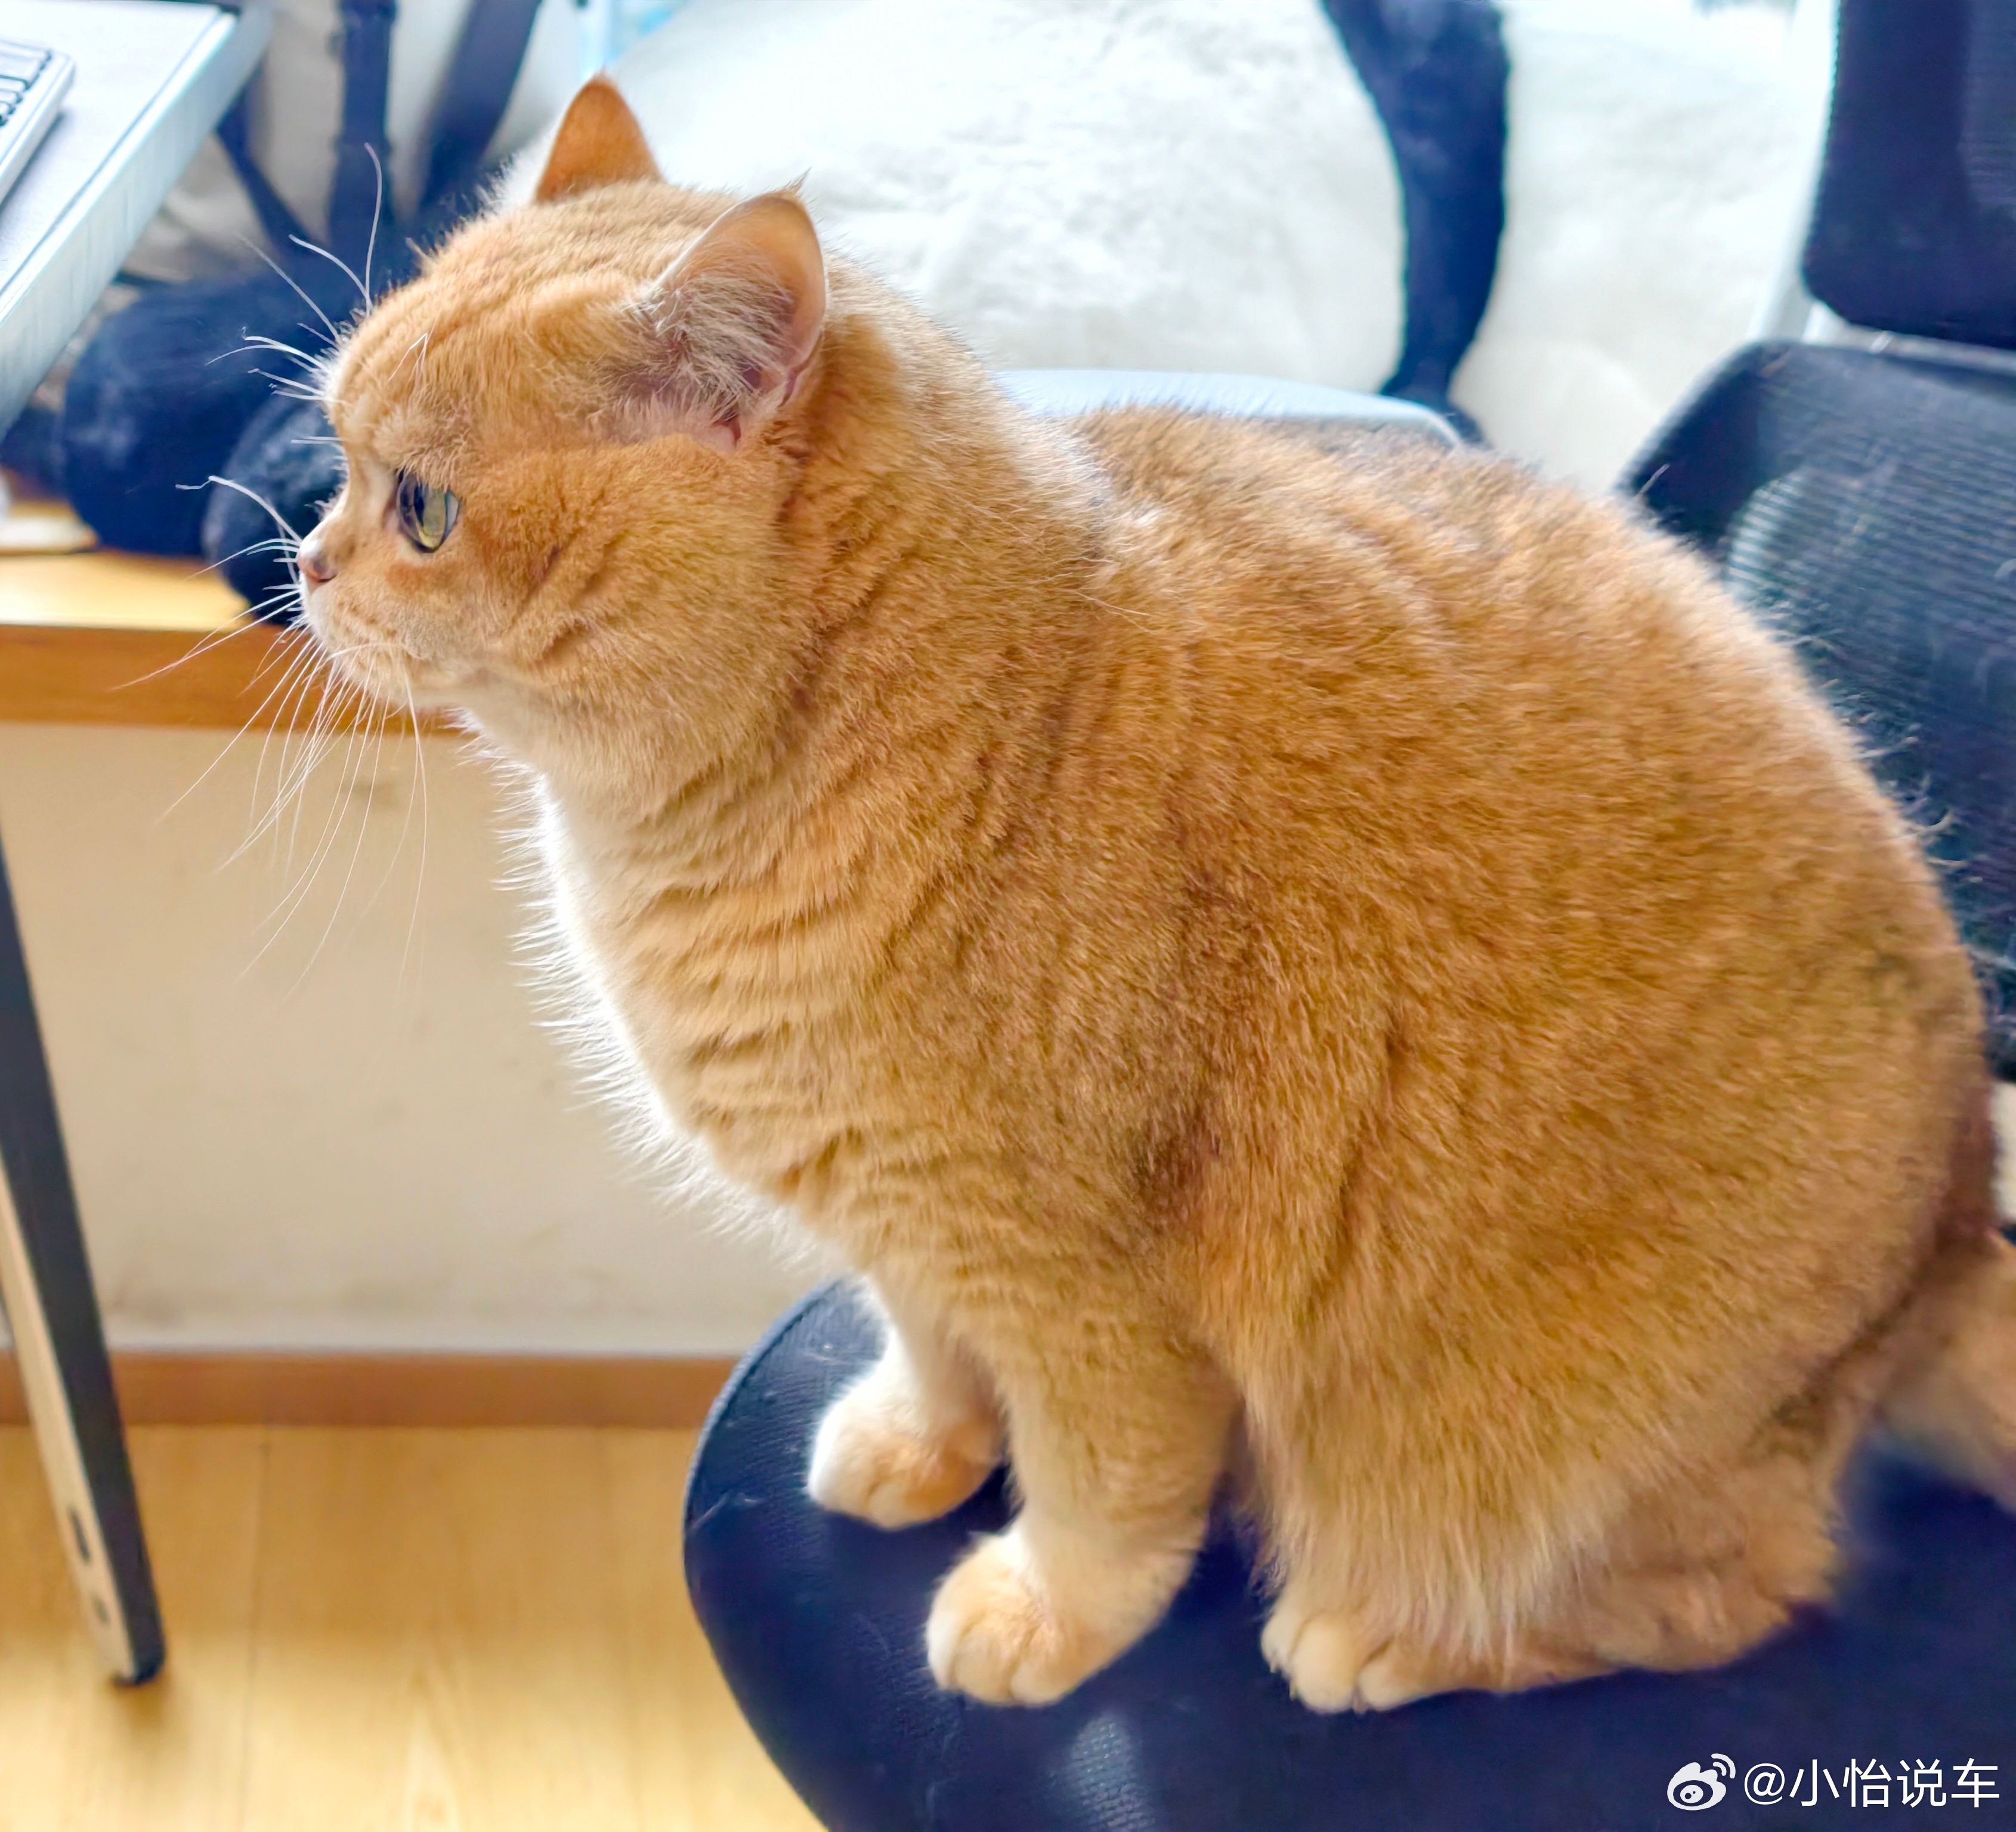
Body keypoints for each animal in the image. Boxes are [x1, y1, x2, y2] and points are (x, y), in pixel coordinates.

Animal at [296, 78, 2016, 1710]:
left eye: (420, 508)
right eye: (332, 461)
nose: (301, 560)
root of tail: (1953, 1227)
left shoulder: (1082, 1290)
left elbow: (1103, 1492)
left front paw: (1043, 1611)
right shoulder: (905, 1225)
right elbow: (932, 1357)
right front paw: (917, 1447)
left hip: (1513, 1459)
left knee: (1719, 1595)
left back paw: (1381, 1638)